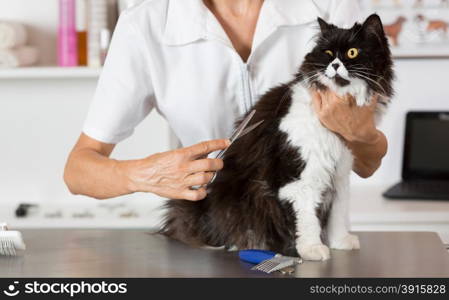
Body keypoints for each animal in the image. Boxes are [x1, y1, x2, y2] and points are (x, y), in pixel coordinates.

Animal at [160, 13, 392, 260]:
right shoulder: (300, 178)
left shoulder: (339, 174)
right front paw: (312, 249)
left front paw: (341, 242)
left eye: (352, 52)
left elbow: (338, 216)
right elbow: (307, 219)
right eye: (328, 53)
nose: (335, 65)